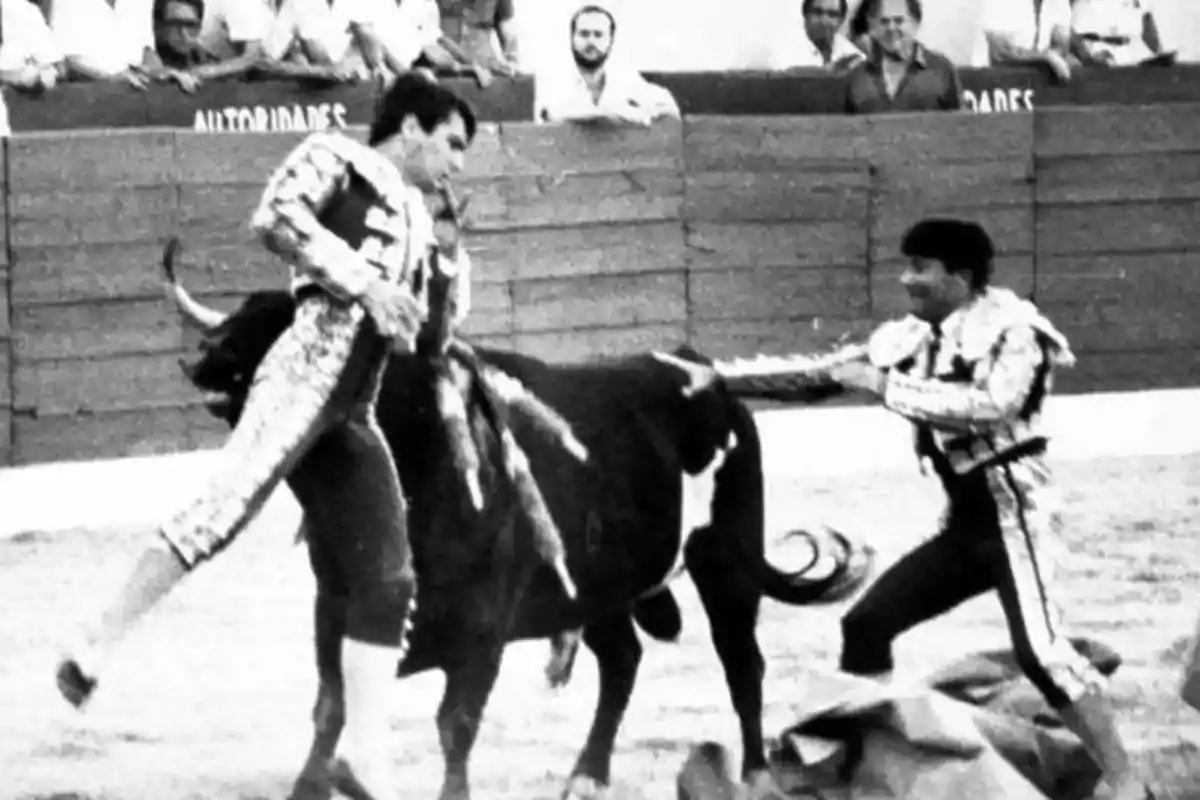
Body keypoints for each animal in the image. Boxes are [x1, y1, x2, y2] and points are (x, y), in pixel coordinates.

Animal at [174, 284, 873, 796]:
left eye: (305, 328)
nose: (206, 352)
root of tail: (706, 373)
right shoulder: (334, 610)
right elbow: (331, 708)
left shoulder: (483, 630)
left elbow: (454, 725)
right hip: (596, 587)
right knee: (623, 661)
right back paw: (587, 776)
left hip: (726, 559)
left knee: (740, 661)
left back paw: (755, 773)